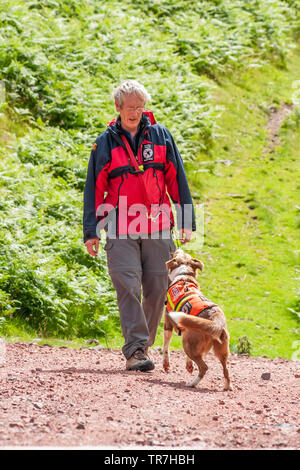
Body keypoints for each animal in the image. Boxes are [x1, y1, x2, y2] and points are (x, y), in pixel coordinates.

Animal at [163, 248, 231, 392]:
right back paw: (228, 386)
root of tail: (216, 319)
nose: (178, 248)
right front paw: (189, 366)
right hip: (221, 350)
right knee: (226, 369)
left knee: (204, 367)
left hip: (187, 341)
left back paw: (192, 384)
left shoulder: (168, 323)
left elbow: (165, 347)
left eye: (176, 254)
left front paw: (166, 364)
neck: (184, 275)